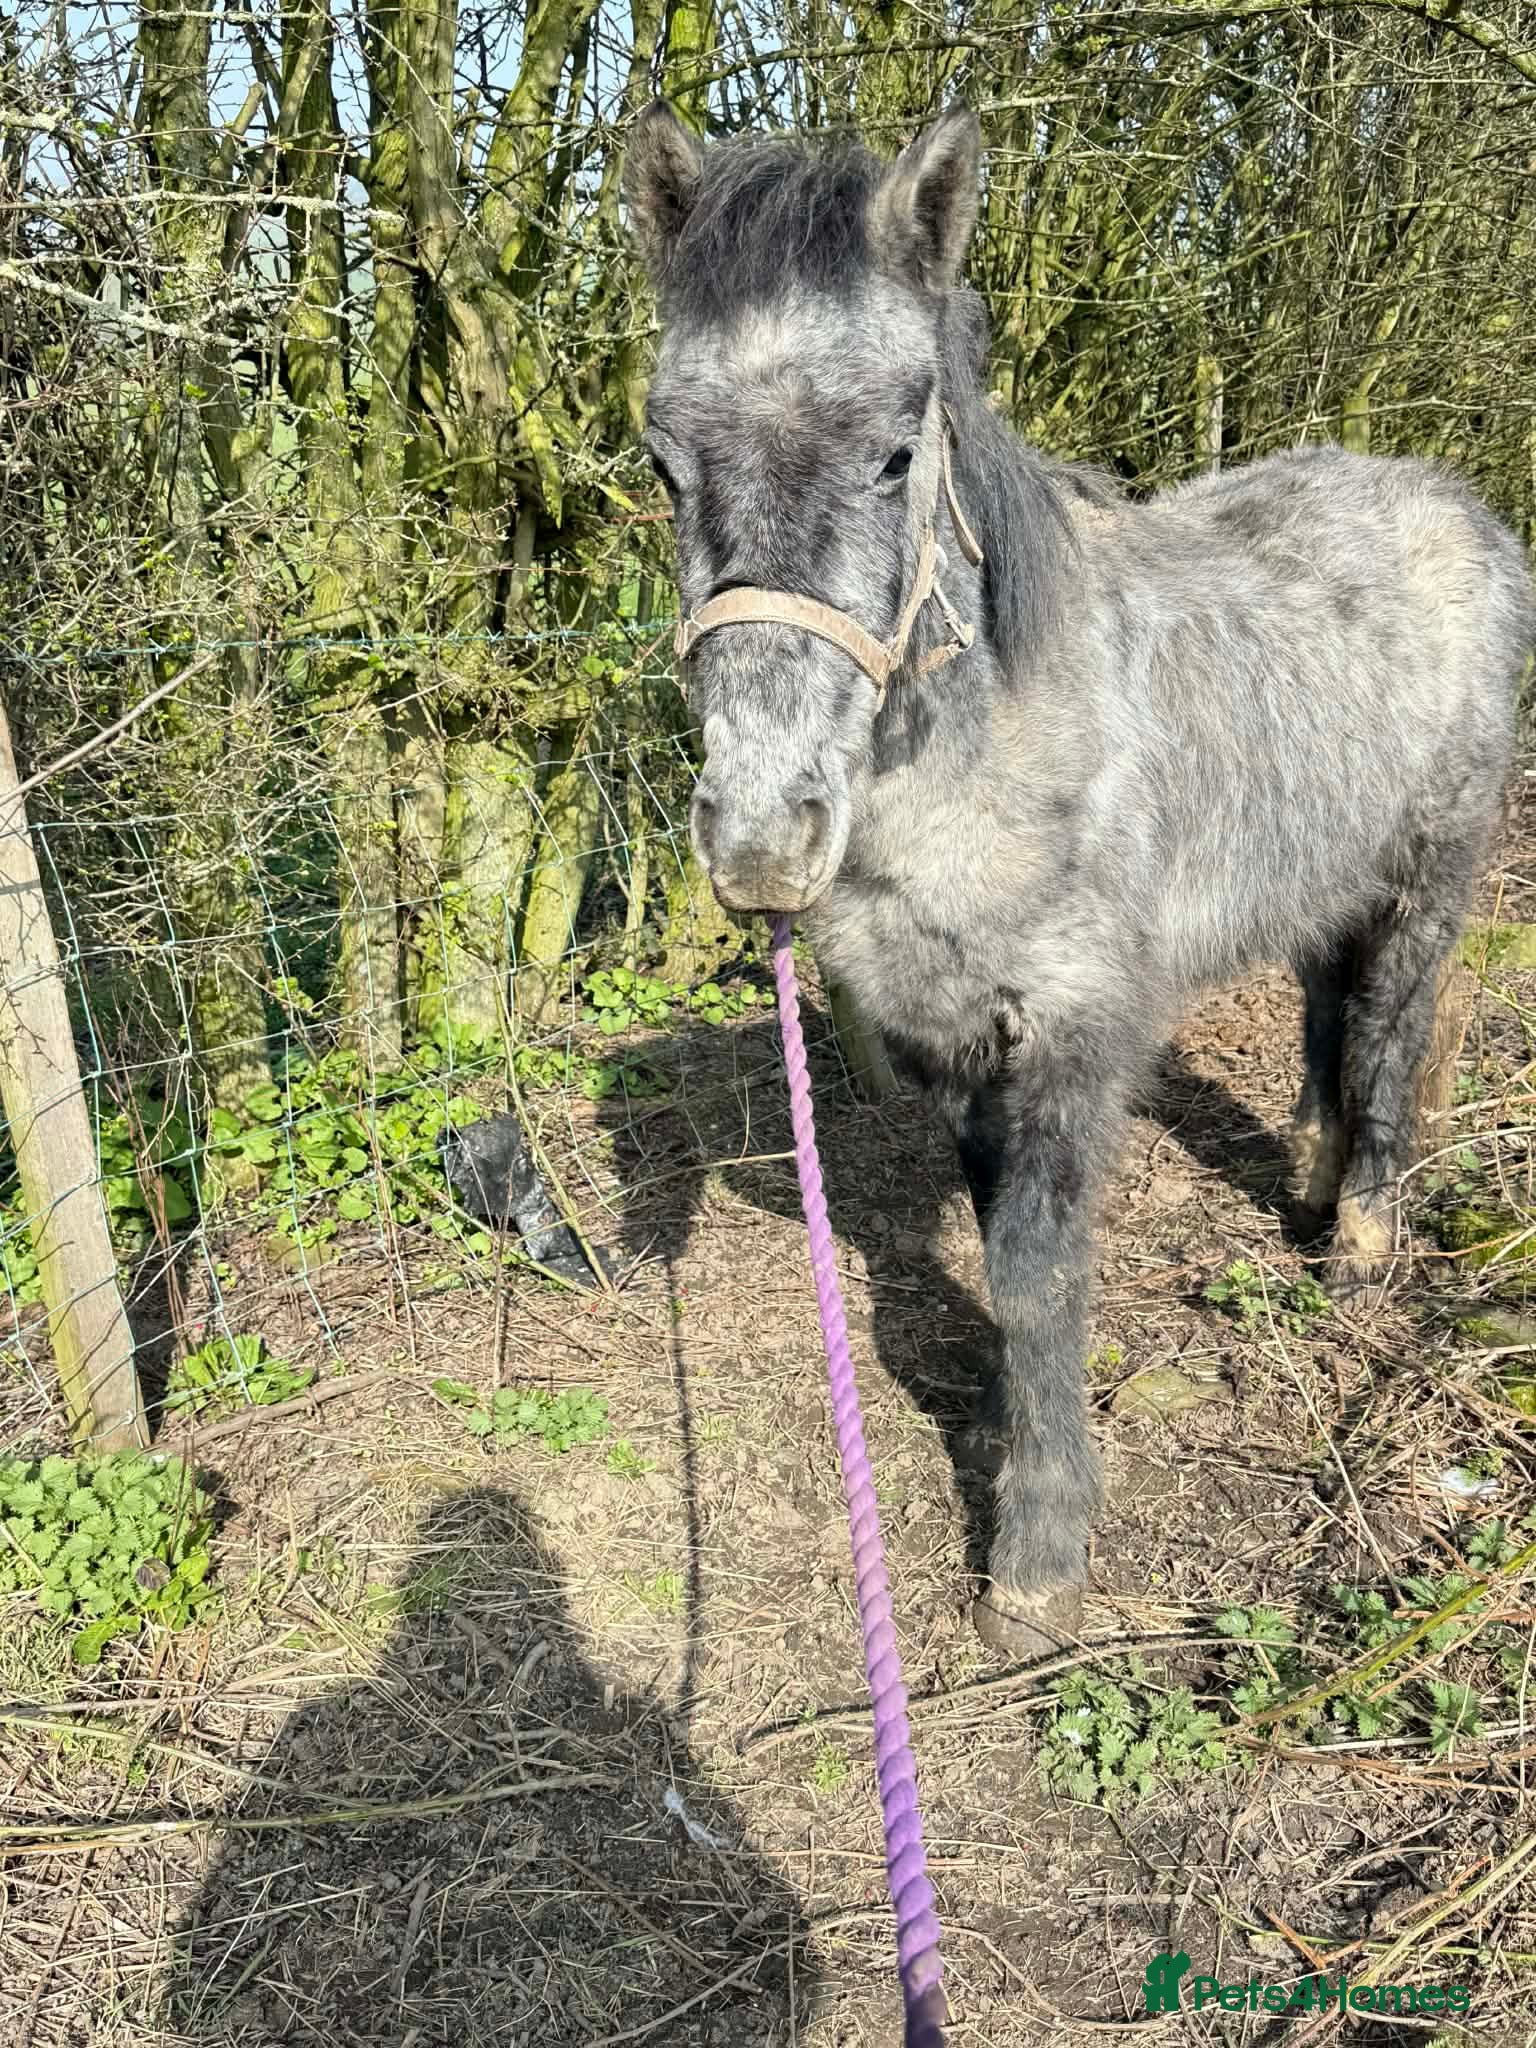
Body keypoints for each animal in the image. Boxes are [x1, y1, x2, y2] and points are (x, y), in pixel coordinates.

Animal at [622, 102, 1534, 1659]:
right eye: (667, 462)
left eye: (896, 452)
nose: (760, 840)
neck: (994, 748)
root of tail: (1451, 505)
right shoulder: (953, 1041)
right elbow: (997, 1249)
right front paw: (1002, 1423)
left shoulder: (1067, 1039)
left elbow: (1041, 1269)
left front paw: (1038, 1553)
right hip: (1322, 870)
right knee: (1327, 1009)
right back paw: (1307, 1175)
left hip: (1435, 869)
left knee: (1392, 1027)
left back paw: (1361, 1242)